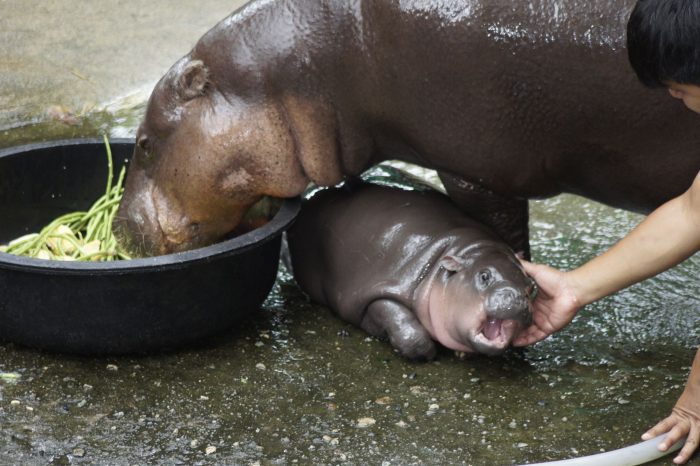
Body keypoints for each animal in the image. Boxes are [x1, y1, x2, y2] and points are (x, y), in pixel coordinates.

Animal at [286, 183, 536, 360]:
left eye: (531, 287)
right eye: (484, 275)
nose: (516, 296)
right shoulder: (383, 290)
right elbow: (405, 327)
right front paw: (425, 354)